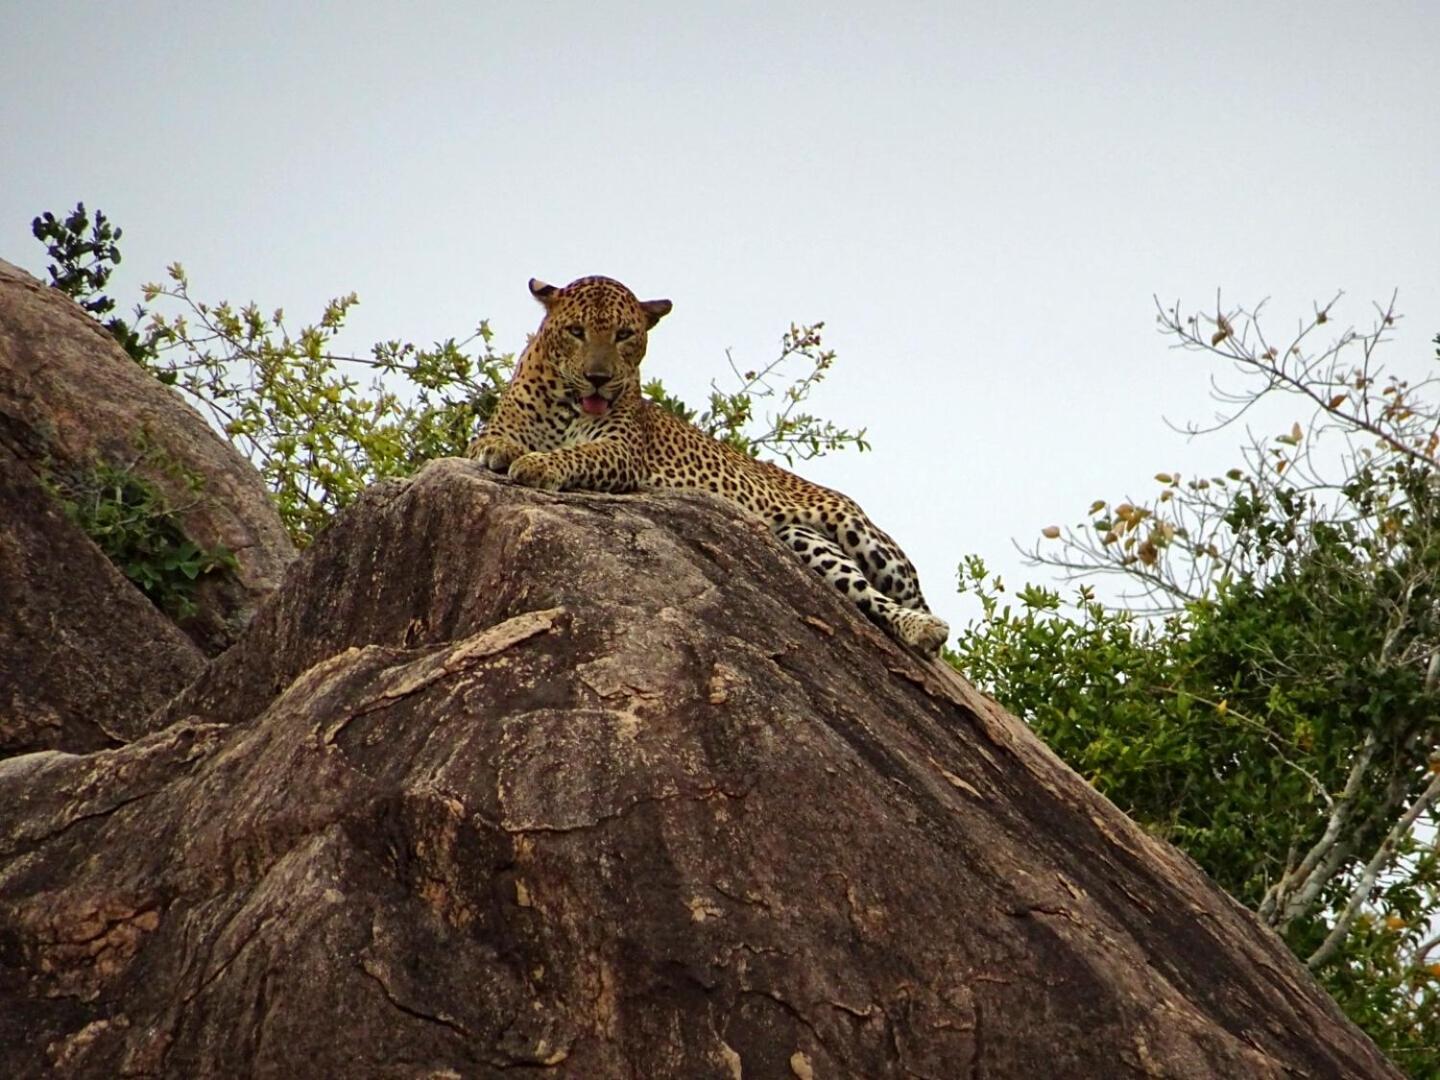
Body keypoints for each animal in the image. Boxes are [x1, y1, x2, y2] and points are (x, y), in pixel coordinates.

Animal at [466, 275, 950, 656]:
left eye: (625, 334)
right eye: (576, 331)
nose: (598, 378)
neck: (566, 402)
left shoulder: (621, 450)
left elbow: (578, 453)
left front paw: (538, 465)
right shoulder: (494, 429)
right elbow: (494, 441)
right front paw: (507, 454)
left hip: (862, 535)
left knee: (911, 602)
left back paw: (926, 629)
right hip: (804, 541)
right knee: (859, 591)